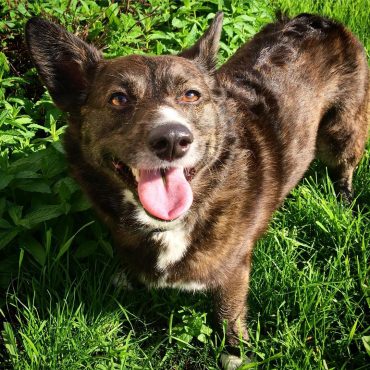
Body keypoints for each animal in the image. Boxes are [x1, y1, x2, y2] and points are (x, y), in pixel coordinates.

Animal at [25, 10, 368, 368]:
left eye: (191, 95)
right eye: (118, 98)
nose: (172, 139)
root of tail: (316, 19)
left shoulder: (234, 270)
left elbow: (229, 312)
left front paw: (235, 352)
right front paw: (128, 280)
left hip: (341, 132)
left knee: (344, 167)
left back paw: (343, 201)